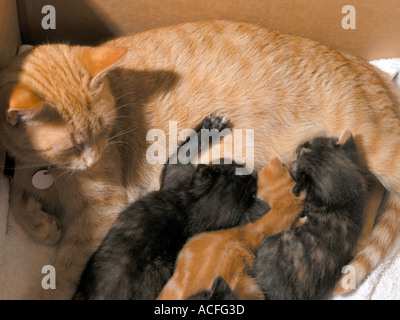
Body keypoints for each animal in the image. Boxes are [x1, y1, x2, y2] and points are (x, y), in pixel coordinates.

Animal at [73, 115, 270, 300]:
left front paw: (211, 126)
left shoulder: (175, 176)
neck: (195, 211)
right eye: (232, 164)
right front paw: (212, 126)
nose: (251, 169)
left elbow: (182, 153)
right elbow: (185, 150)